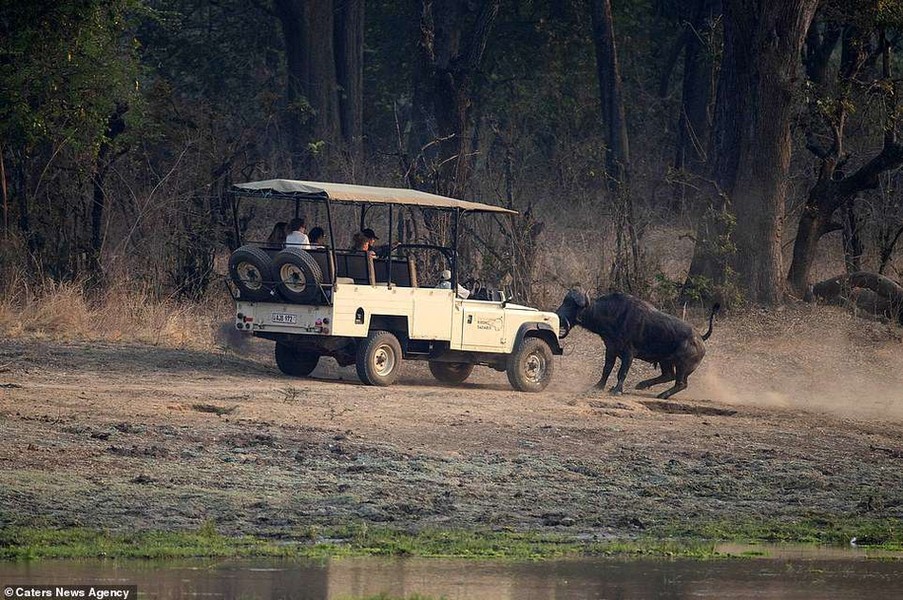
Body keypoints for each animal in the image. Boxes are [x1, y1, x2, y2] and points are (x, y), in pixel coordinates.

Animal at [556, 290, 716, 398]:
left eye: (571, 305)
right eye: (564, 301)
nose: (558, 316)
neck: (610, 314)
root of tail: (700, 338)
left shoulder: (629, 353)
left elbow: (622, 372)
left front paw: (617, 390)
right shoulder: (610, 349)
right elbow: (606, 369)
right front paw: (598, 386)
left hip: (682, 364)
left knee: (681, 383)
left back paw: (662, 395)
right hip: (665, 360)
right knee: (669, 375)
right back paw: (642, 385)